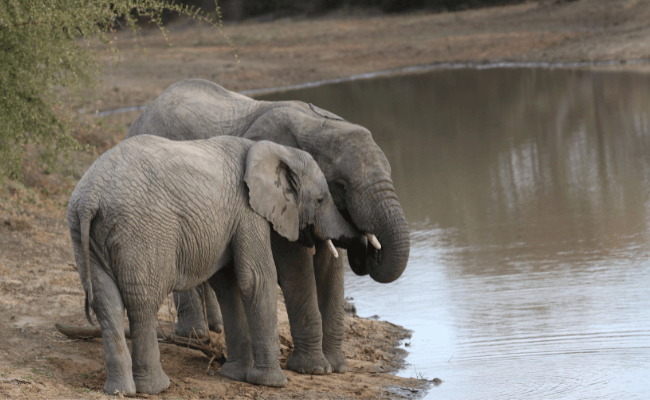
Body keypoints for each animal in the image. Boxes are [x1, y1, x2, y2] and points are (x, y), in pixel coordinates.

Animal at [67, 135, 356, 394]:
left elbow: (228, 285)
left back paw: (120, 391)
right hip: (142, 232)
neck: (273, 148)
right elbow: (256, 279)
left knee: (107, 304)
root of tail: (91, 194)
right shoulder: (248, 211)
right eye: (320, 200)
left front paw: (234, 375)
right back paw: (155, 388)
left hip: (86, 235)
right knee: (142, 304)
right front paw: (272, 383)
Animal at [126, 79, 410, 376]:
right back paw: (194, 335)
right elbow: (296, 267)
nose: (367, 249)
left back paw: (215, 328)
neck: (317, 124)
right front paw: (313, 369)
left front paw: (337, 367)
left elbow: (330, 269)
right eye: (341, 185)